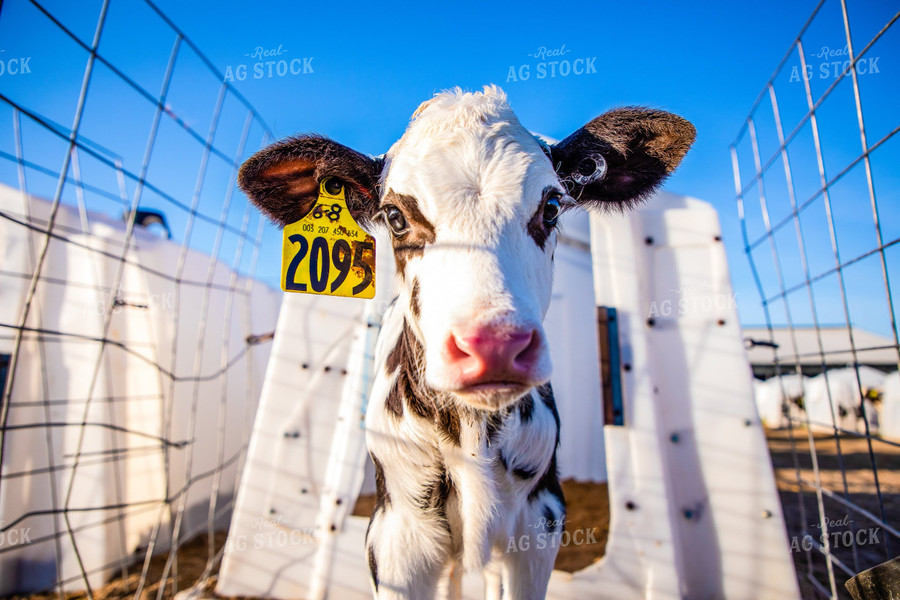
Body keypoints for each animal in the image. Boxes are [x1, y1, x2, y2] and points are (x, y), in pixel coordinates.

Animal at [239, 85, 696, 600]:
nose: (494, 345)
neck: (473, 431)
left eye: (552, 207)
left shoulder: (539, 523)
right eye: (394, 216)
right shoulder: (396, 534)